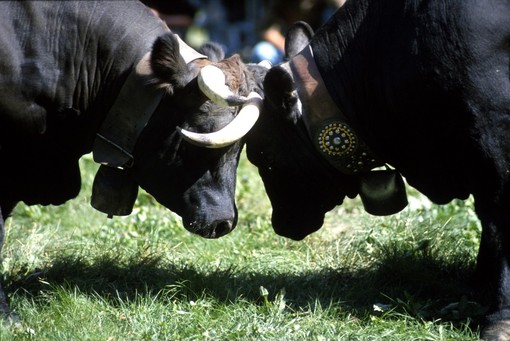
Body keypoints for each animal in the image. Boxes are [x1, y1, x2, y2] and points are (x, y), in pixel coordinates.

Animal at [242, 1, 510, 338]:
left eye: (262, 158)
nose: (280, 224)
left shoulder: (494, 135)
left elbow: (499, 220)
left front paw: (500, 317)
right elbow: (489, 224)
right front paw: (478, 286)